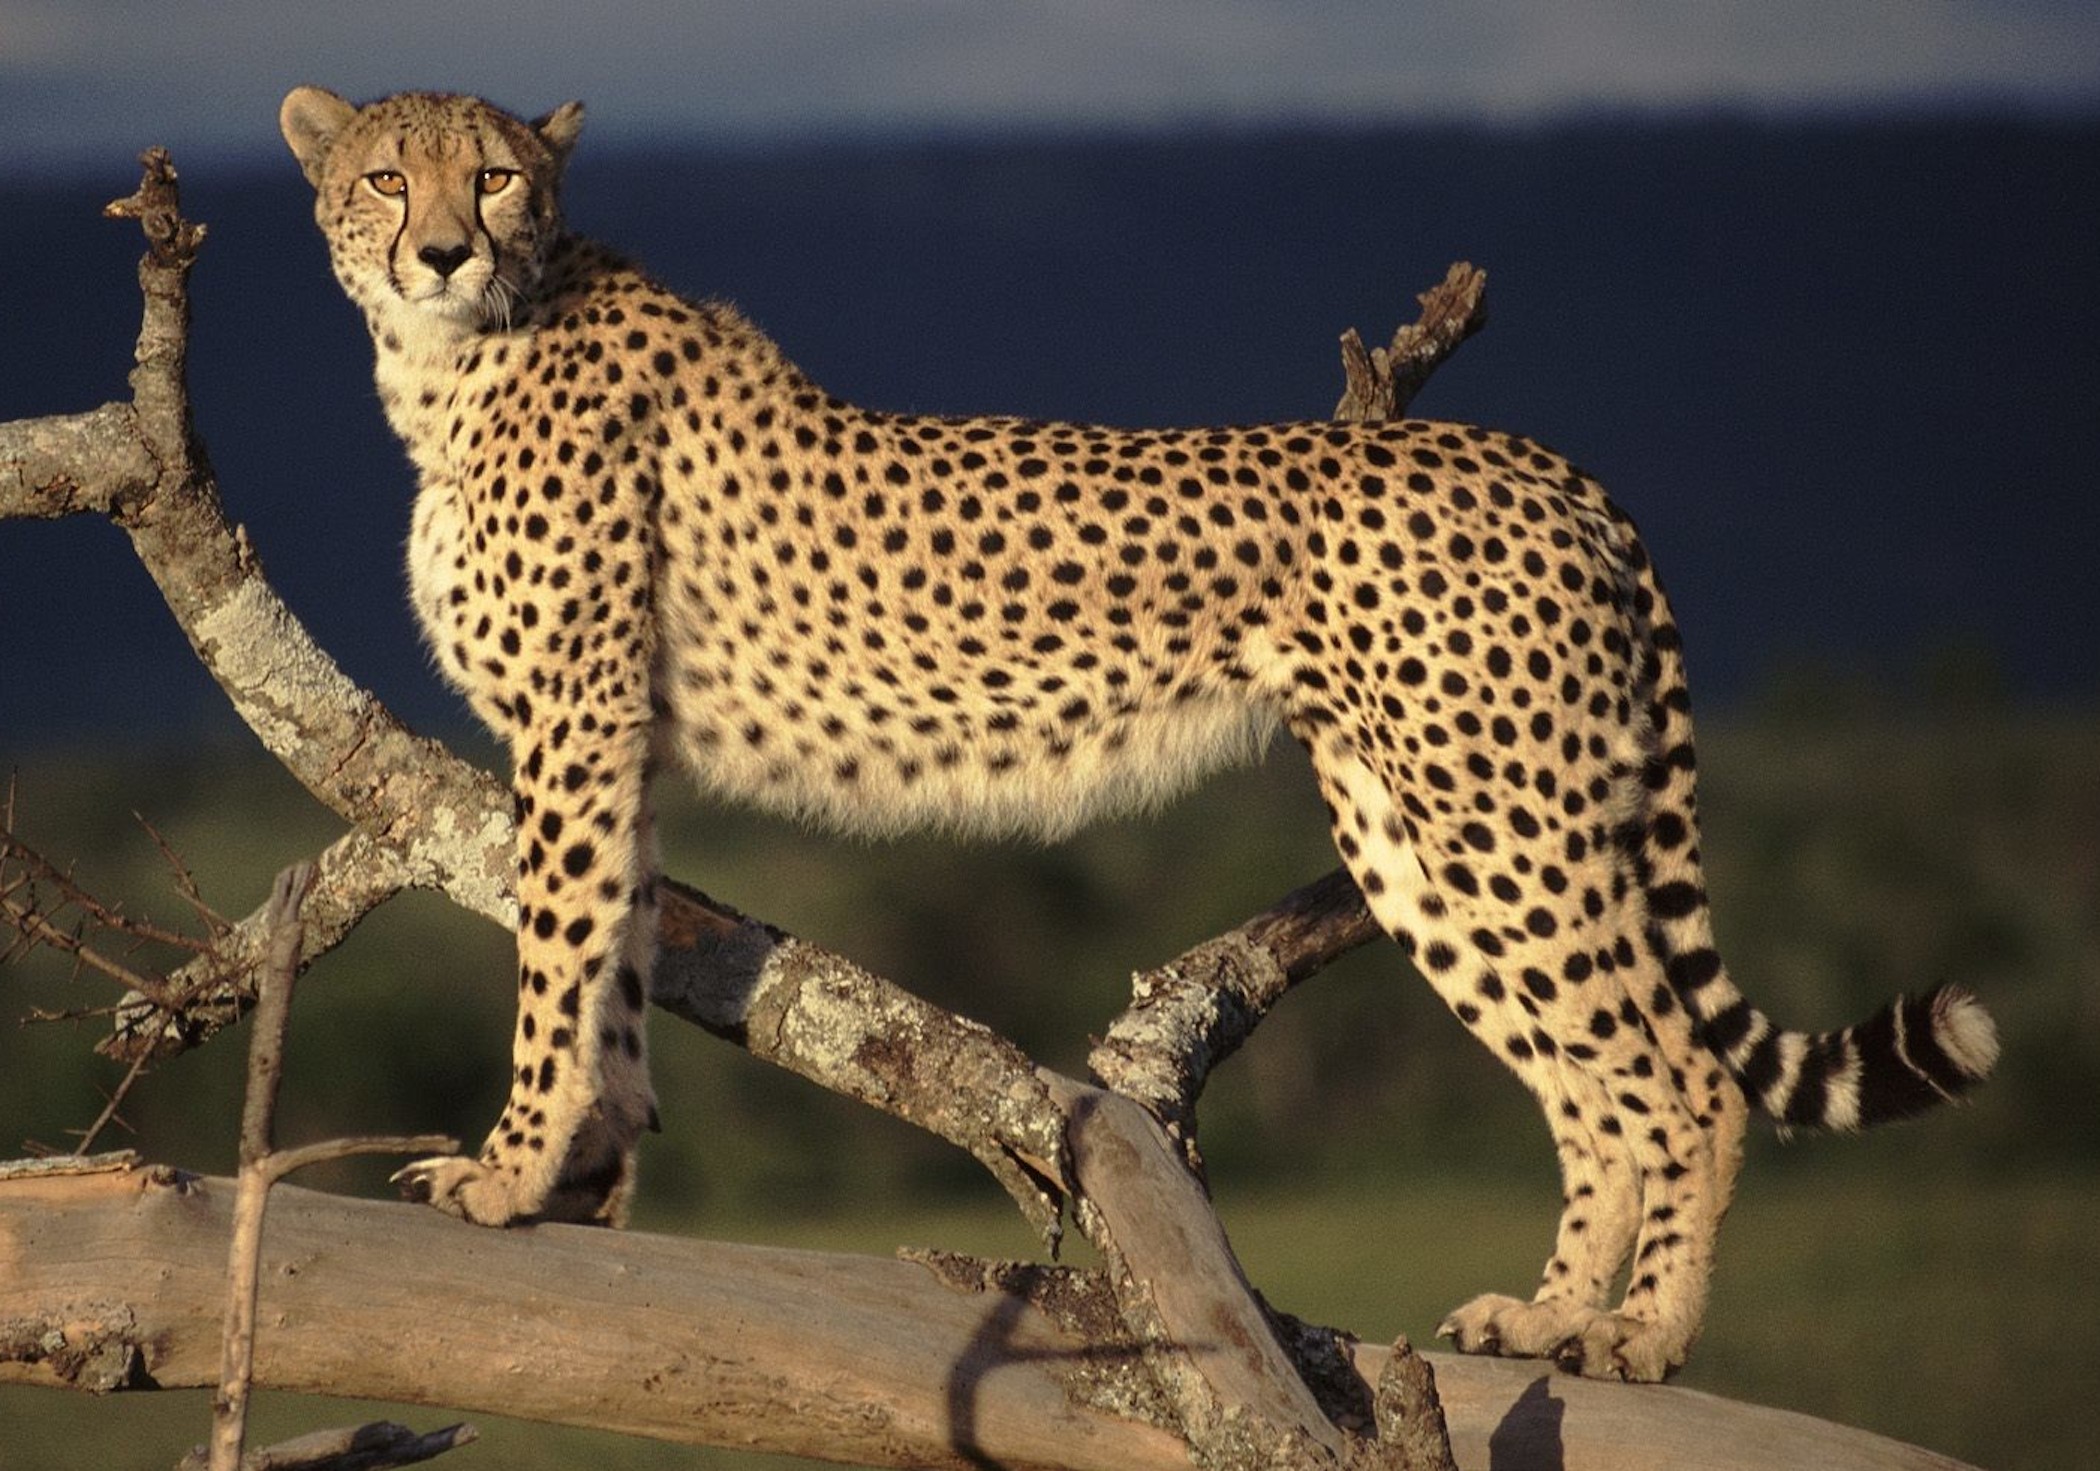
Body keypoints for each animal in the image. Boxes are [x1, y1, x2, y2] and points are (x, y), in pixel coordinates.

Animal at [279, 85, 1999, 1382]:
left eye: (495, 174)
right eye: (388, 175)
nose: (441, 250)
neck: (465, 353)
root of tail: (1536, 455)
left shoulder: (575, 724)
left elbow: (557, 955)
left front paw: (507, 1171)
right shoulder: (618, 738)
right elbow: (615, 958)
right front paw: (579, 1178)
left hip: (1502, 816)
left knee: (1679, 1080)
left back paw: (1642, 1337)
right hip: (1421, 839)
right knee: (1593, 1087)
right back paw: (1551, 1313)